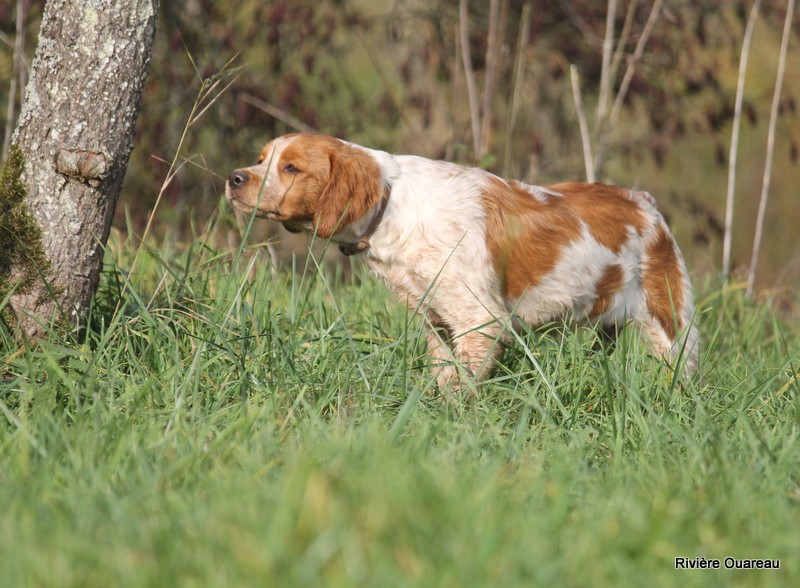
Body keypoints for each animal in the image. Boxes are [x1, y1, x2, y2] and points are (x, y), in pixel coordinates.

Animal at [223, 135, 692, 388]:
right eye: (262, 159)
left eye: (291, 168)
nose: (233, 178)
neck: (392, 205)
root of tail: (645, 204)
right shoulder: (437, 319)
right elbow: (444, 374)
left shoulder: (478, 319)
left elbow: (460, 386)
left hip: (671, 326)